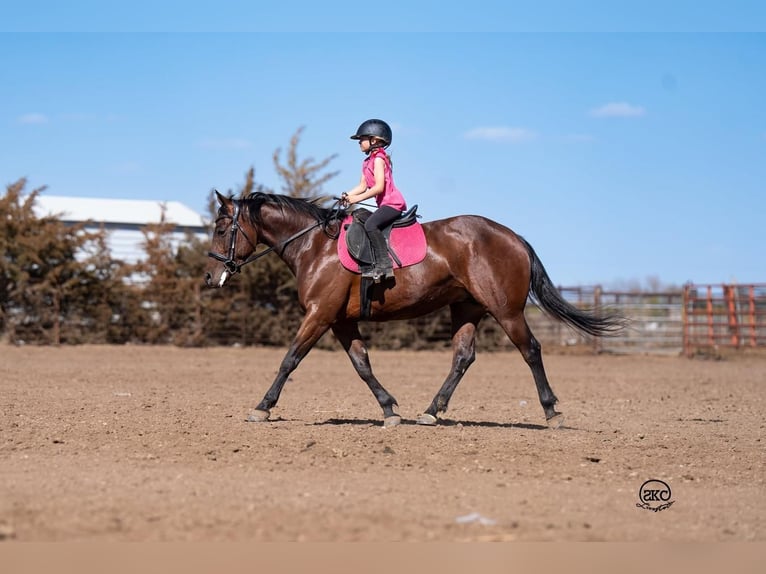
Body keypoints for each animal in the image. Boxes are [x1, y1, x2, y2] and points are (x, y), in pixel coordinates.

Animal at [204, 192, 624, 428]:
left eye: (222, 229)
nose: (210, 276)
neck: (314, 246)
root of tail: (514, 237)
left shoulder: (320, 315)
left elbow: (289, 359)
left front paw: (262, 407)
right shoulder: (340, 321)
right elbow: (362, 365)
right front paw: (389, 409)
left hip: (505, 311)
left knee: (531, 350)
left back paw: (552, 412)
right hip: (466, 309)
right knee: (463, 357)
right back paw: (432, 411)